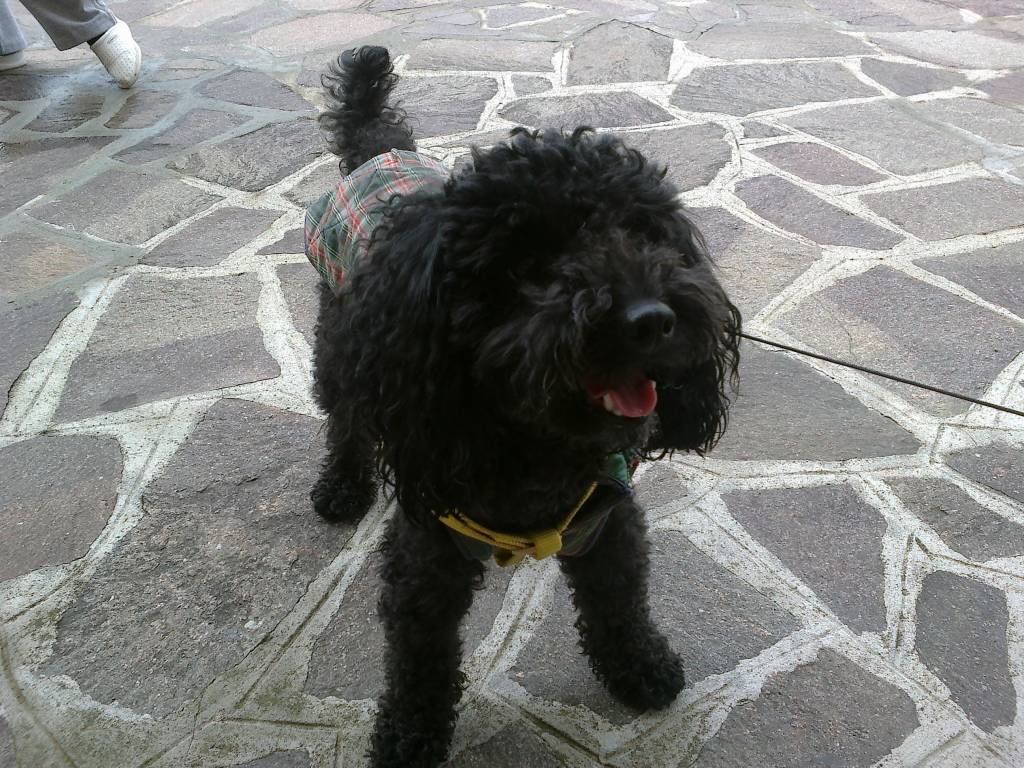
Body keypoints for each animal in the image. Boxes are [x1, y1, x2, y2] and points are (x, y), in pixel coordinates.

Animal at [305, 46, 741, 768]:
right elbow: (420, 662)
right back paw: (341, 486)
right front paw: (408, 738)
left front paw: (641, 669)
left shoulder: (608, 523)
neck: (536, 451)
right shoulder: (426, 556)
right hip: (338, 347)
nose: (652, 320)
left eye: (644, 235)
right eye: (531, 265)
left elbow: (619, 604)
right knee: (344, 420)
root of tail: (378, 152)